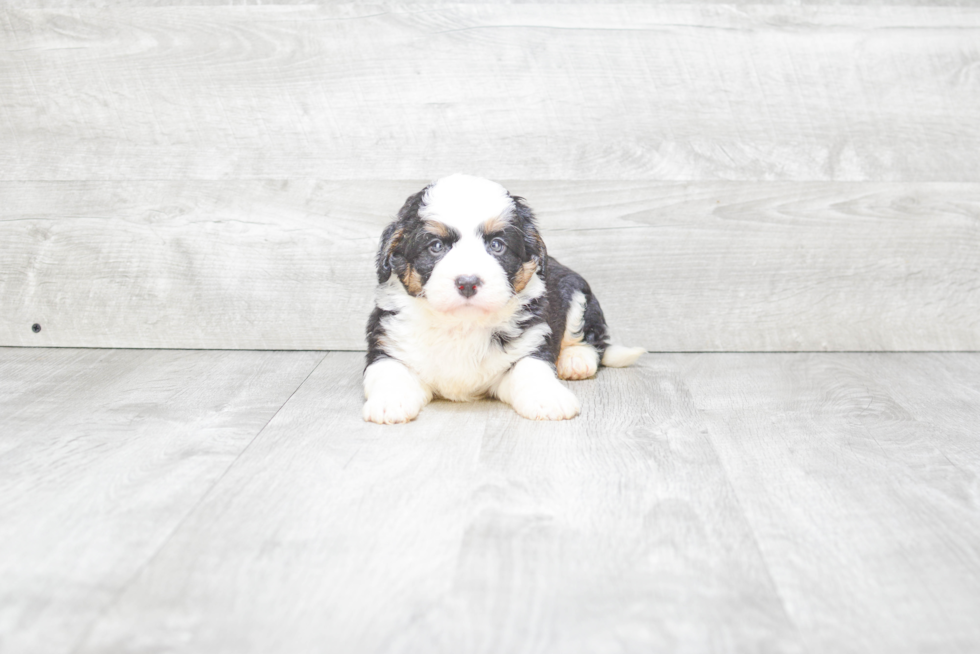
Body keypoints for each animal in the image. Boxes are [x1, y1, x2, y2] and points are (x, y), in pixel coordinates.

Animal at [360, 174, 644, 426]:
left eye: (497, 245)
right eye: (436, 247)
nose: (467, 282)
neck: (463, 325)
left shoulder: (531, 341)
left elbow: (531, 369)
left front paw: (549, 398)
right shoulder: (388, 346)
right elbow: (389, 372)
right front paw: (389, 403)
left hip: (576, 293)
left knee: (591, 339)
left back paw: (575, 360)